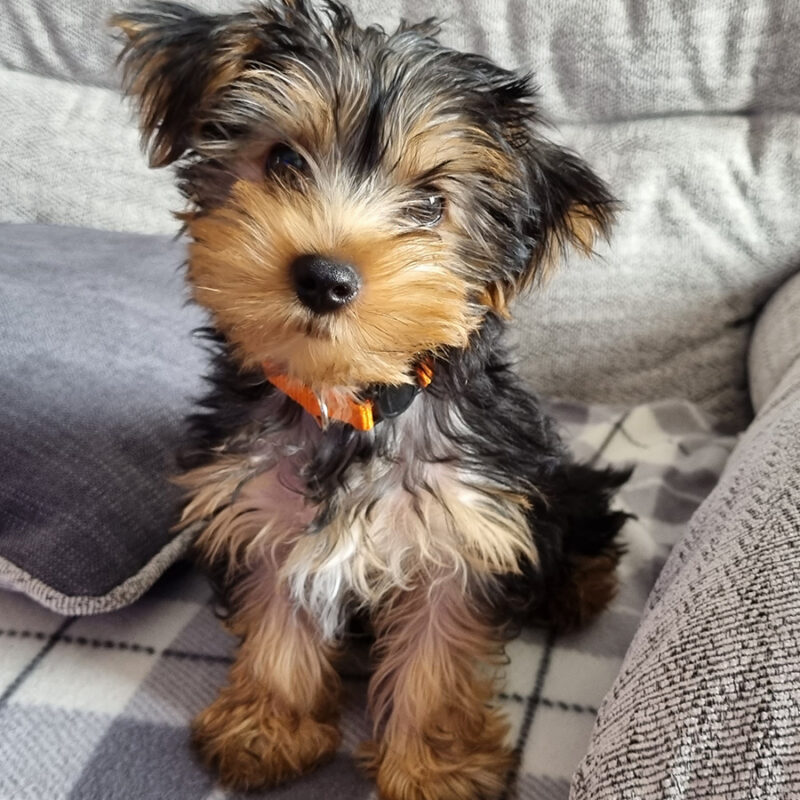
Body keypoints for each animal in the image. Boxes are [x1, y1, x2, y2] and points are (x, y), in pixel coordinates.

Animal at [112, 3, 628, 796]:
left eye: (431, 205)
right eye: (284, 161)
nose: (325, 276)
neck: (350, 401)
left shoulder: (462, 528)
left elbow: (437, 654)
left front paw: (435, 766)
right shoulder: (266, 509)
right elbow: (279, 615)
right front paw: (268, 725)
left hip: (550, 482)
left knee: (585, 513)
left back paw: (576, 591)